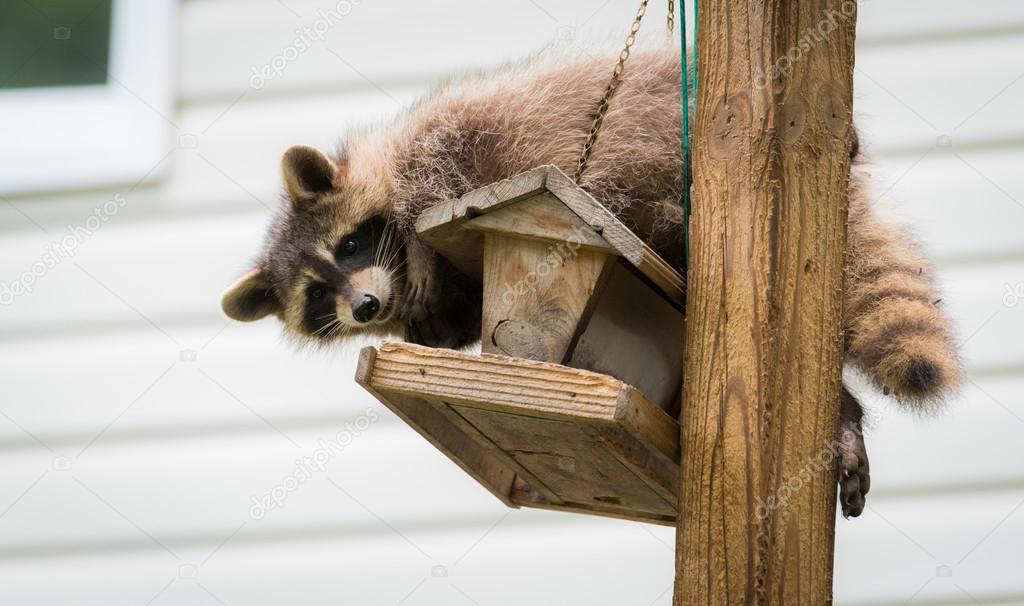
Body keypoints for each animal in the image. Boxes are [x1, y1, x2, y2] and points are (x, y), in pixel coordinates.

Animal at [222, 43, 958, 515]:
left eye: (349, 246)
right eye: (317, 294)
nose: (368, 307)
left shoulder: (444, 139)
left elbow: (436, 184)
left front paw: (421, 252)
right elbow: (449, 318)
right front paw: (433, 324)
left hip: (657, 132)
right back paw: (845, 413)